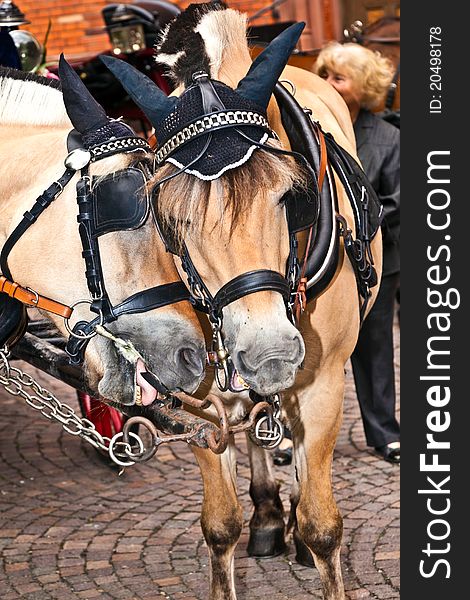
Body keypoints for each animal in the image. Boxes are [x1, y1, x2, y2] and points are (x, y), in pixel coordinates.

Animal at [102, 2, 382, 596]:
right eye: (174, 218)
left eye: (289, 198)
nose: (269, 350)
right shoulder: (197, 395)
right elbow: (219, 524)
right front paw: (253, 520)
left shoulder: (323, 381)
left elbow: (323, 525)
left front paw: (308, 533)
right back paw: (268, 514)